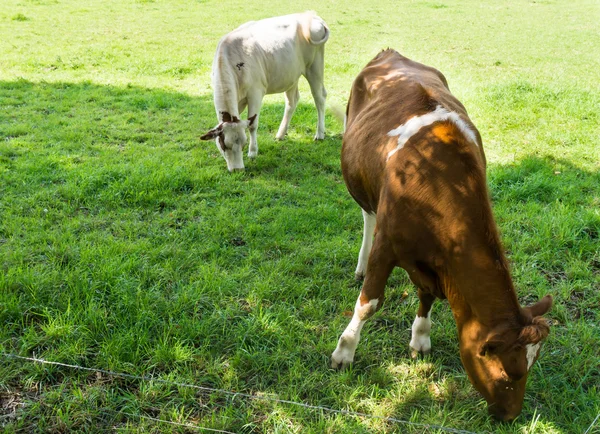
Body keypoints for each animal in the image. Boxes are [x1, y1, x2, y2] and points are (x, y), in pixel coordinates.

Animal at [200, 11, 328, 171]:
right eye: (224, 146)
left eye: (243, 145)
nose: (237, 170)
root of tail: (310, 14)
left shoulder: (255, 93)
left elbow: (252, 125)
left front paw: (253, 152)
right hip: (290, 75)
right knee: (292, 101)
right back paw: (280, 134)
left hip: (314, 66)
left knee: (319, 97)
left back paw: (320, 134)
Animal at [330, 50, 552, 420]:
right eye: (509, 372)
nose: (510, 417)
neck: (438, 182)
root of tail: (389, 52)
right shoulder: (387, 245)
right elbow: (369, 303)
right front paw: (344, 352)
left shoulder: (433, 261)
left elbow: (427, 295)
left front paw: (420, 339)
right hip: (361, 182)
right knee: (367, 216)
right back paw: (359, 264)